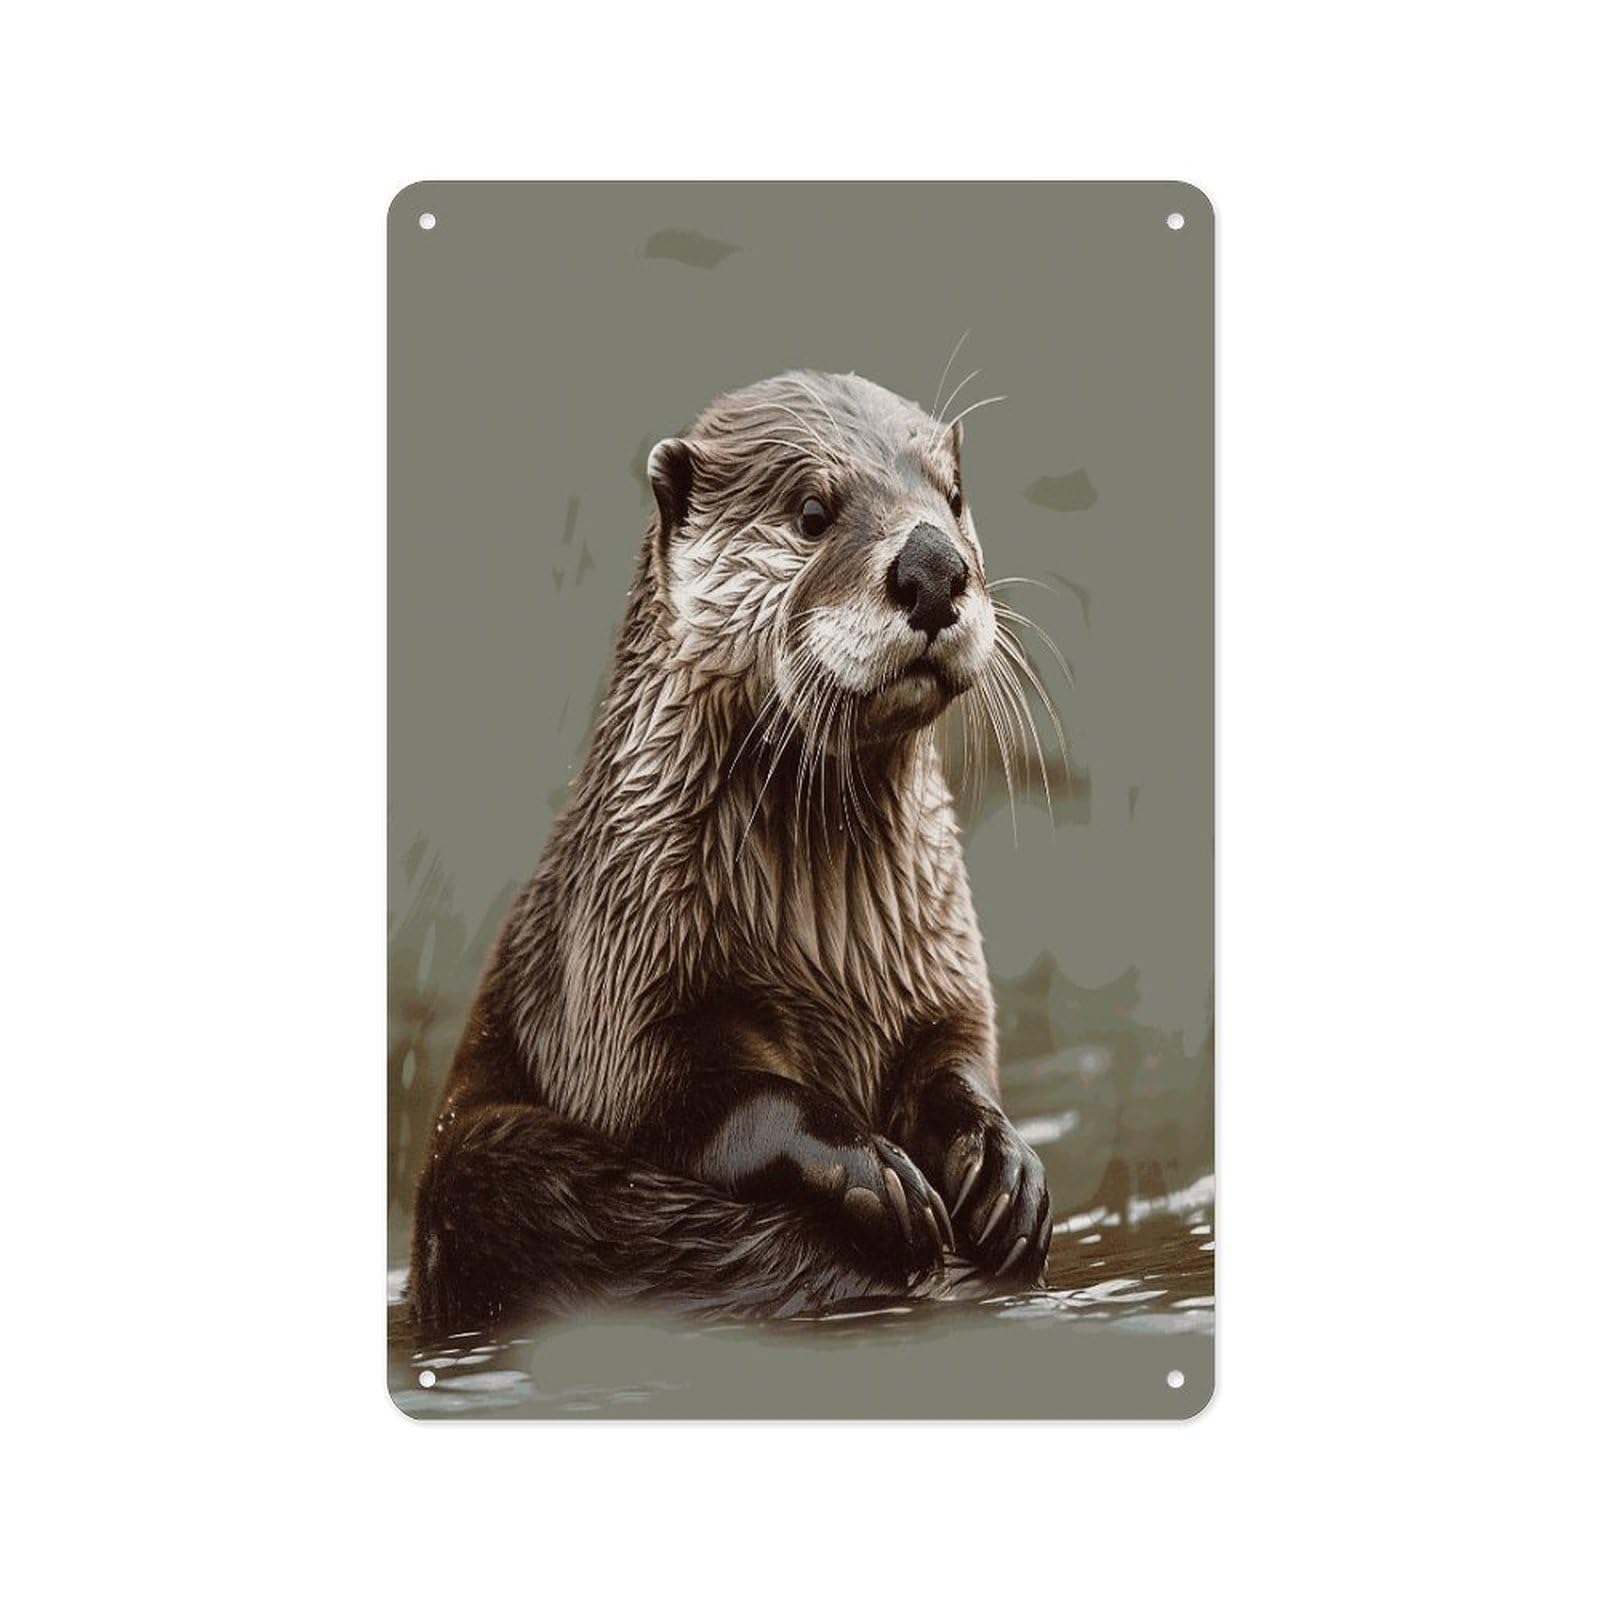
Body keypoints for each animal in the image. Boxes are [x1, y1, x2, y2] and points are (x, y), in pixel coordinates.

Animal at [407, 370, 1053, 1327]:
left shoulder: (940, 970)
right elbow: (683, 1094)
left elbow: (955, 1061)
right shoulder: (613, 970)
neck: (830, 951)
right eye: (813, 511)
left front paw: (1006, 1163)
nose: (935, 566)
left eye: (953, 496)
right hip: (490, 1165)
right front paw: (871, 1167)